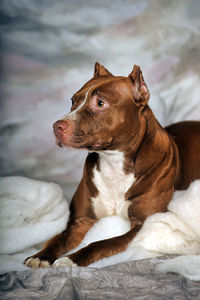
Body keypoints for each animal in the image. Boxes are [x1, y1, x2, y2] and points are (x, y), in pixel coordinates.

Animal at [24, 61, 200, 268]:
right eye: (73, 101)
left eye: (100, 103)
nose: (57, 126)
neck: (113, 161)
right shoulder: (81, 220)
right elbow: (58, 237)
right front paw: (41, 256)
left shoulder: (142, 225)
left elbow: (101, 243)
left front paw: (71, 259)